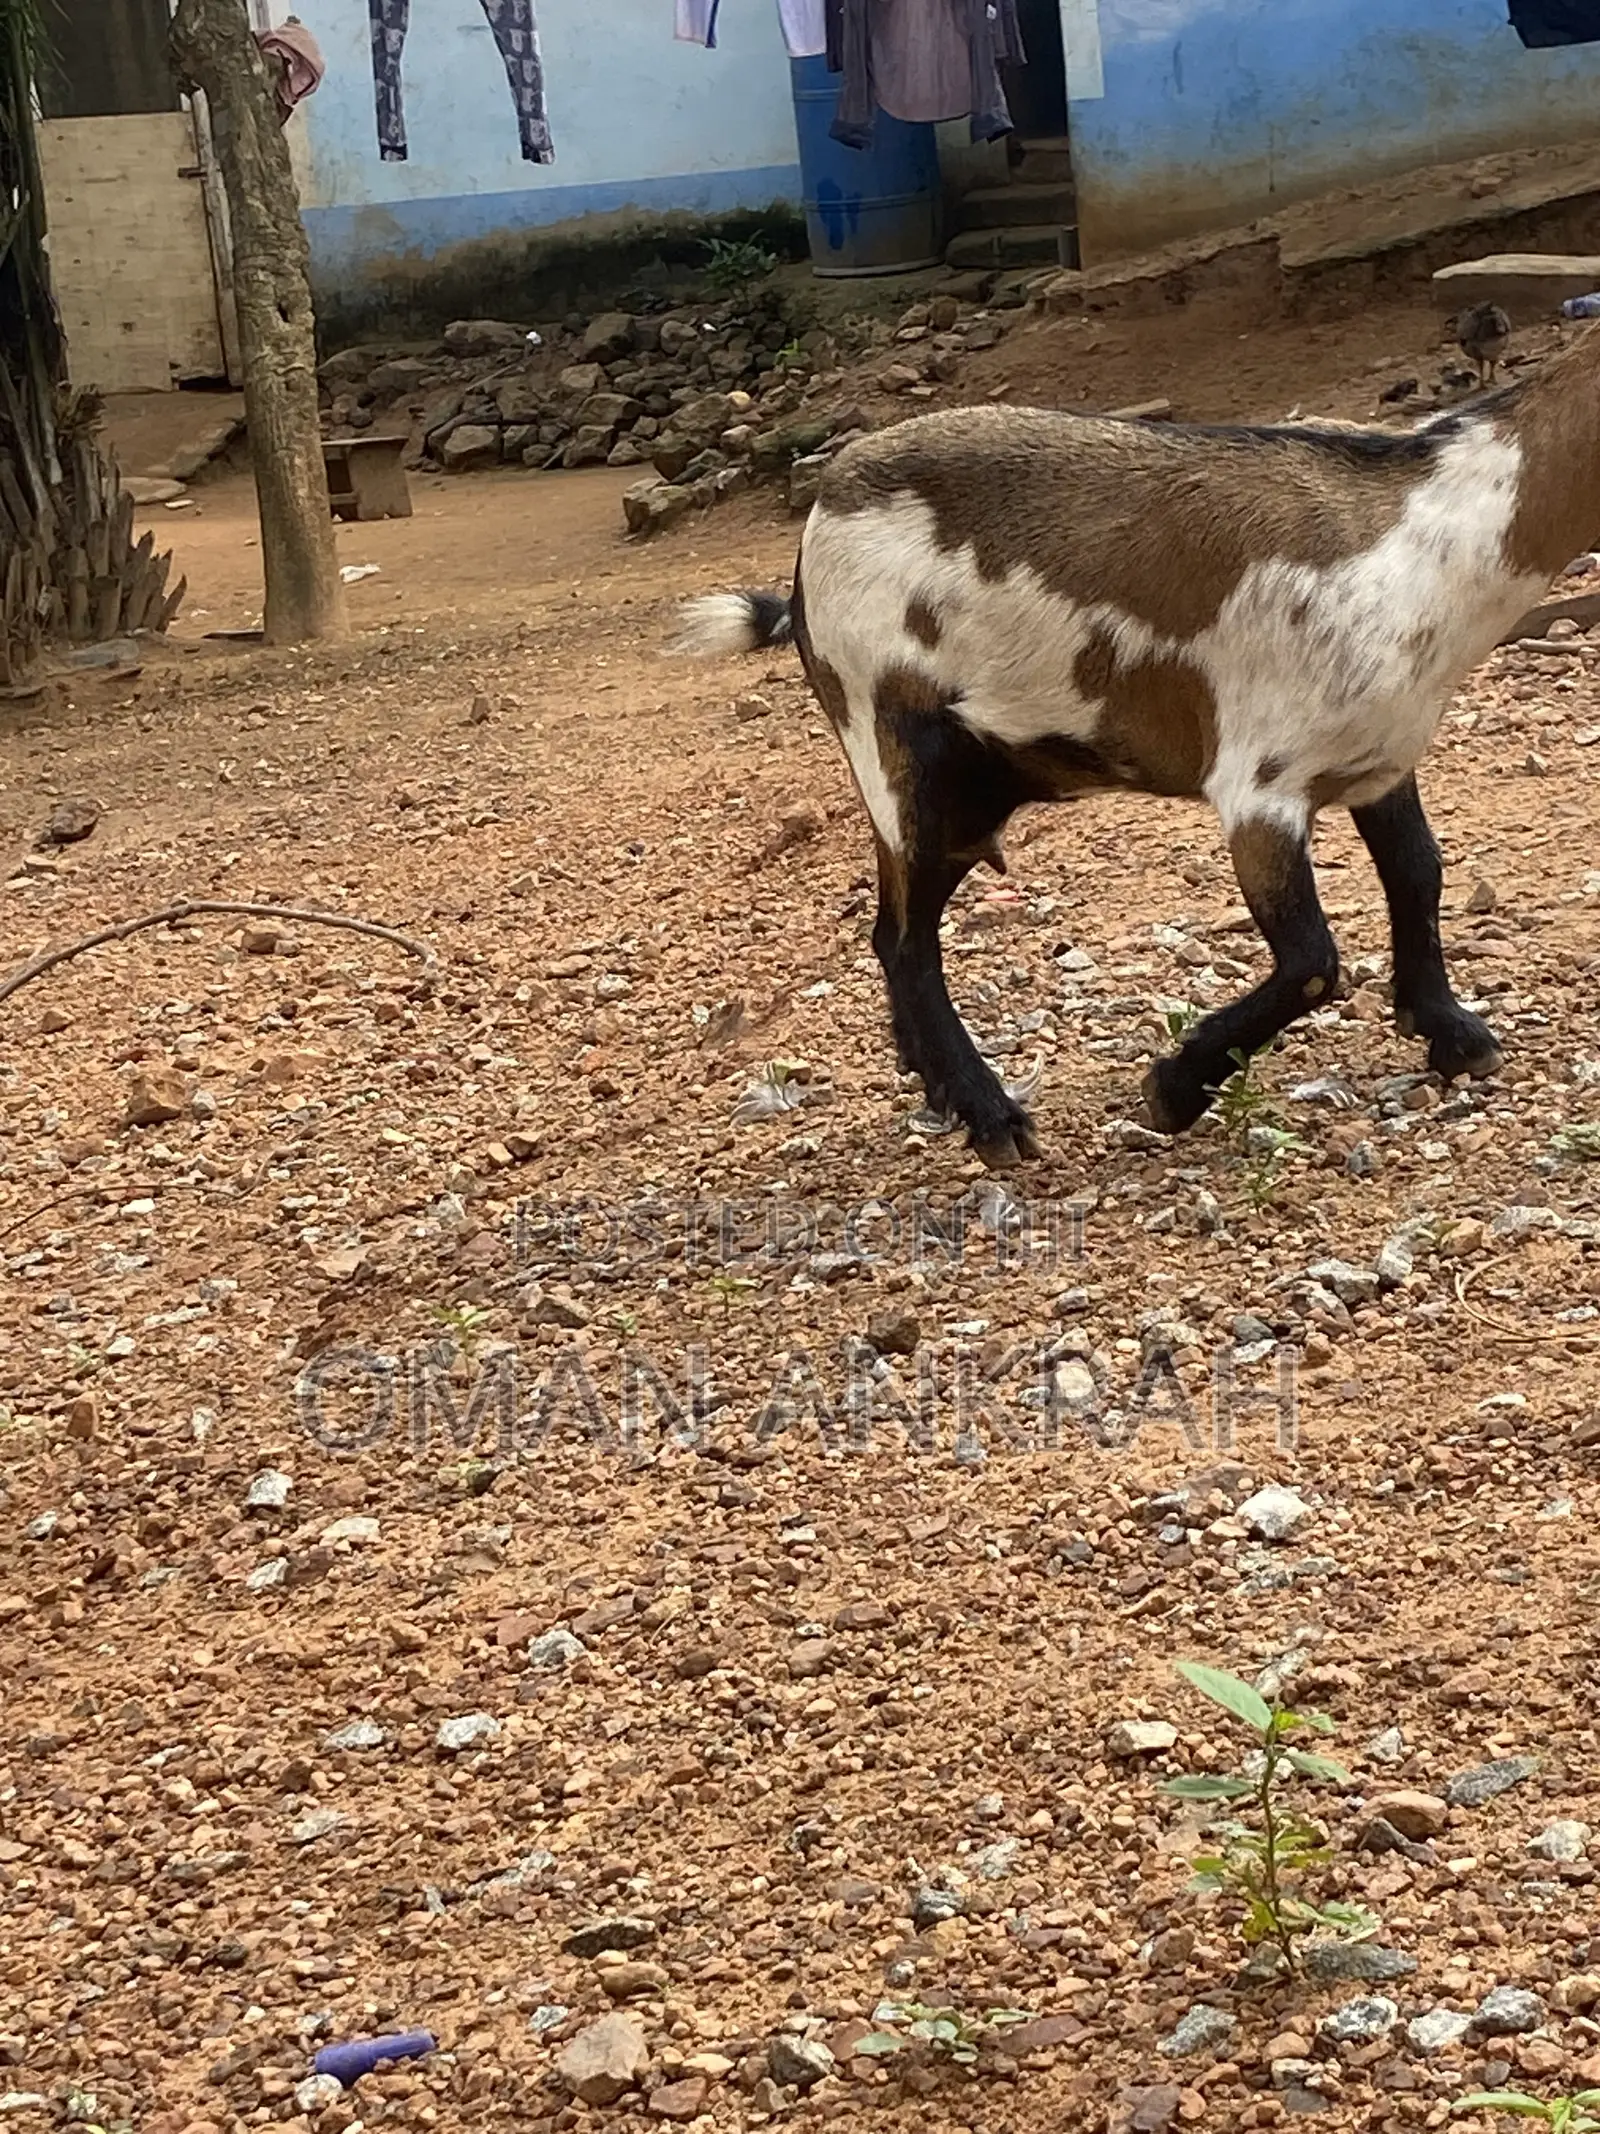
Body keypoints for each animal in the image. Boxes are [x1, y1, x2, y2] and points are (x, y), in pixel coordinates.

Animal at [673, 349, 1592, 1167]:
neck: (1428, 533)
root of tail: (819, 523)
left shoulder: (1379, 760)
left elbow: (1418, 873)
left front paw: (1452, 1034)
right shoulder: (1261, 785)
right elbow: (1311, 963)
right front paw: (1173, 1092)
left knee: (895, 934)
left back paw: (940, 1088)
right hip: (898, 752)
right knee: (905, 938)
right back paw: (990, 1115)